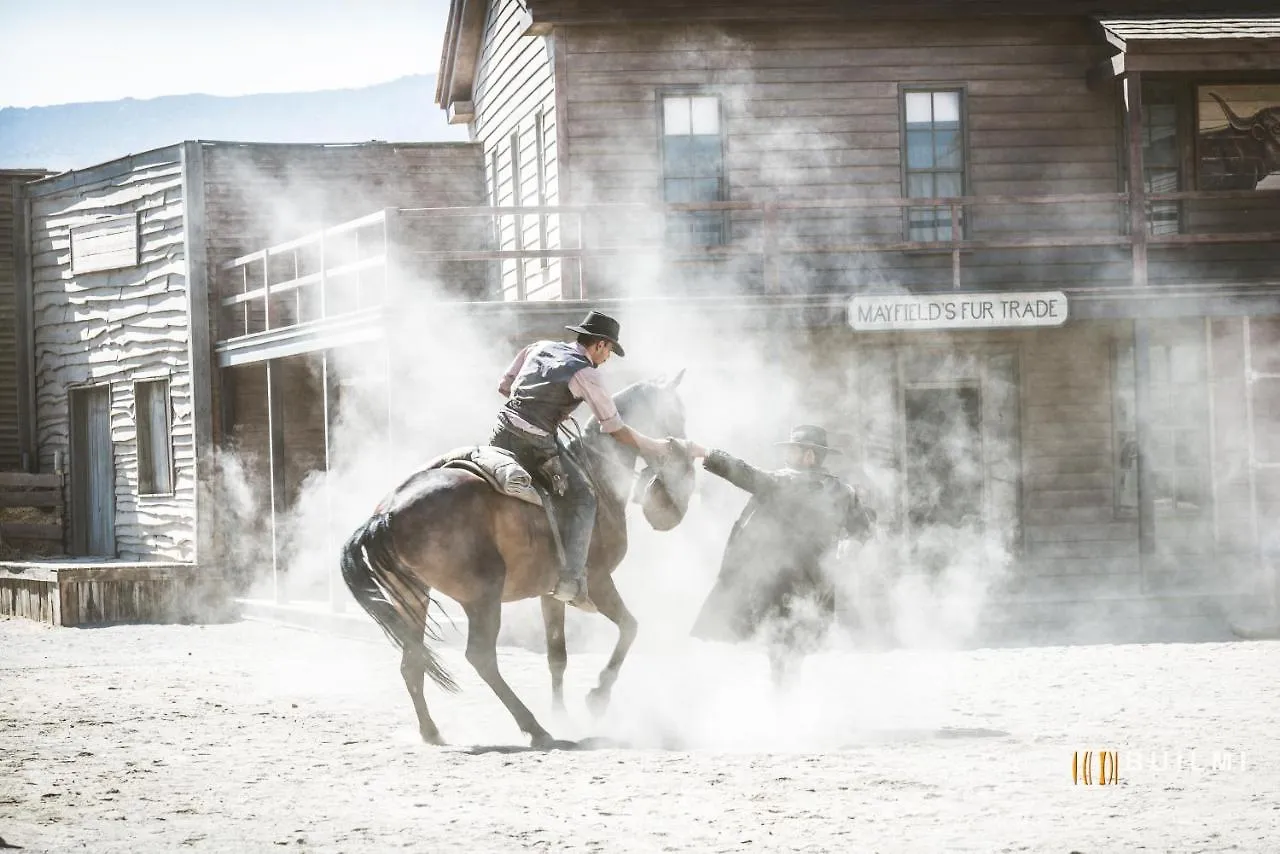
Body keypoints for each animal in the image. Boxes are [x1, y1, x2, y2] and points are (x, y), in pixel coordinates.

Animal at [340, 373, 691, 747]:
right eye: (676, 418)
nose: (674, 508)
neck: (597, 475)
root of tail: (389, 511)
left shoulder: (552, 594)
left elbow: (557, 655)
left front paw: (562, 715)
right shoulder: (598, 581)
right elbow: (630, 628)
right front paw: (597, 698)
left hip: (413, 596)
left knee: (412, 659)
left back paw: (432, 732)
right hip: (483, 595)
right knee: (480, 657)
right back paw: (535, 729)